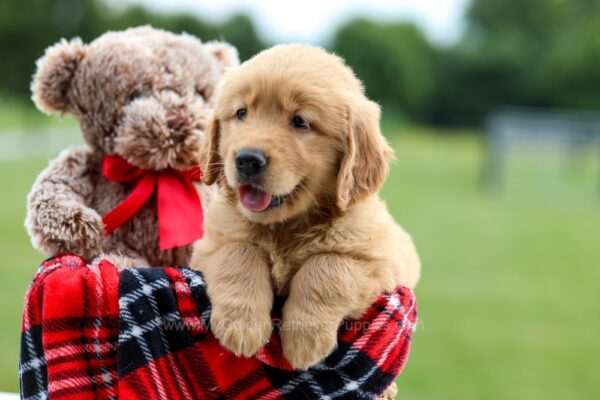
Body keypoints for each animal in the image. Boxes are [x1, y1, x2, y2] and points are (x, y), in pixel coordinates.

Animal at [190, 44, 420, 372]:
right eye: (241, 113)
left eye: (300, 121)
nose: (247, 159)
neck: (285, 227)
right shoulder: (208, 246)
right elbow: (238, 252)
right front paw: (242, 326)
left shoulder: (382, 264)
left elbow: (327, 266)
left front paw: (304, 340)